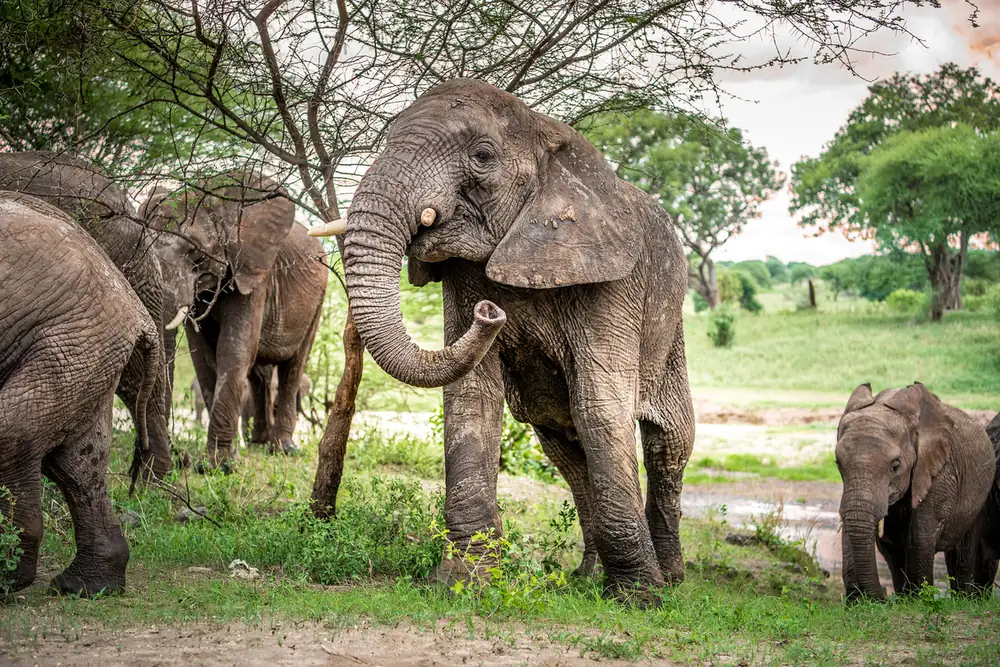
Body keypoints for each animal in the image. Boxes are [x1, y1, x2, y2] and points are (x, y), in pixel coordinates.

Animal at [0, 192, 160, 595]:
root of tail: (140, 314)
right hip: (86, 351)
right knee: (76, 462)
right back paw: (85, 587)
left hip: (71, 342)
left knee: (13, 433)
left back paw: (10, 578)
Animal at [142, 173, 327, 468]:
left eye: (195, 251)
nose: (181, 459)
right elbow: (203, 356)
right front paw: (215, 462)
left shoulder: (254, 272)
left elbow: (234, 349)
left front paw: (219, 465)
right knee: (260, 375)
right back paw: (257, 444)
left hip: (318, 301)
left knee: (293, 367)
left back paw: (283, 449)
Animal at [310, 79, 695, 601]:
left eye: (483, 156)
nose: (489, 314)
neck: (546, 134)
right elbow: (472, 399)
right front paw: (466, 580)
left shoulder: (613, 281)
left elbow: (599, 406)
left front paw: (640, 598)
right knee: (564, 446)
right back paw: (587, 577)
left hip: (671, 331)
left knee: (669, 444)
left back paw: (670, 579)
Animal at [836, 382, 995, 601]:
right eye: (838, 463)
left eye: (895, 466)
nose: (883, 597)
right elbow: (882, 541)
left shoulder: (940, 472)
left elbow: (920, 535)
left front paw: (919, 601)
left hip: (981, 493)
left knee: (964, 549)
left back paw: (964, 599)